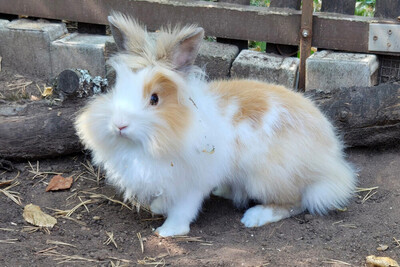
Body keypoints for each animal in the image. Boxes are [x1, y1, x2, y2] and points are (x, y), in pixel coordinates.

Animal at [75, 12, 356, 239]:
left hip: (268, 178)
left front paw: (167, 231)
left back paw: (254, 217)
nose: (119, 125)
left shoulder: (192, 181)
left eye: (154, 99)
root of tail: (331, 159)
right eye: (117, 88)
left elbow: (183, 209)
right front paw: (157, 208)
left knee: (296, 202)